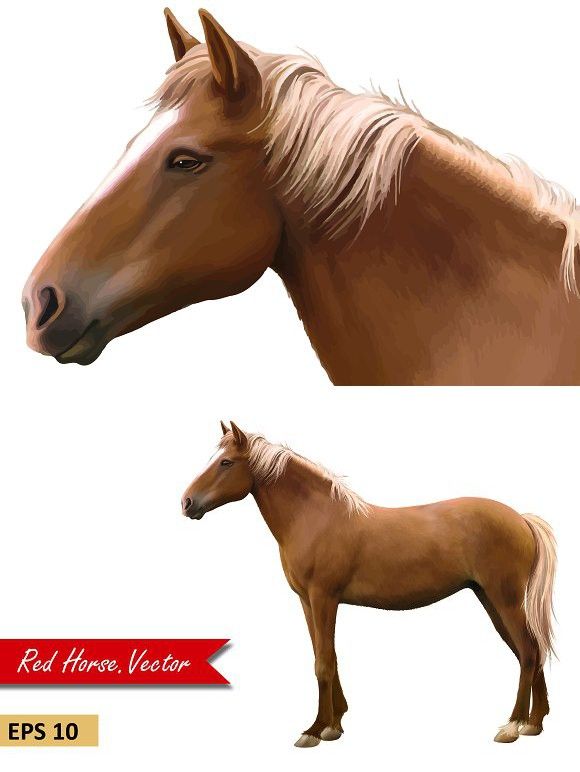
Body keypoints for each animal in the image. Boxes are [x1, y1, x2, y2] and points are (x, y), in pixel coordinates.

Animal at [181, 421, 557, 747]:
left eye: (226, 462)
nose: (187, 502)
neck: (316, 518)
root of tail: (521, 519)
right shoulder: (307, 602)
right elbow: (325, 656)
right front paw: (334, 724)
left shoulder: (323, 598)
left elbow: (323, 663)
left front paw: (315, 730)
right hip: (490, 599)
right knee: (530, 651)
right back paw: (534, 723)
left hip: (504, 599)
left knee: (527, 652)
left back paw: (512, 726)